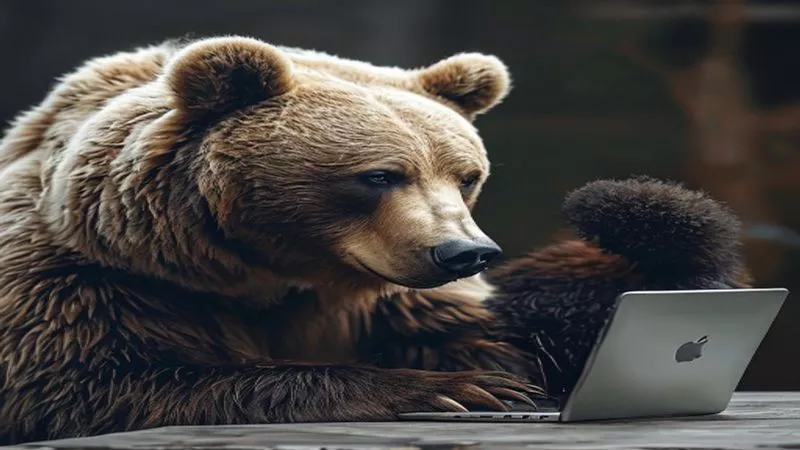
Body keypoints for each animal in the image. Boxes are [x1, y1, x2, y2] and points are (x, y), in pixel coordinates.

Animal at [0, 36, 748, 444]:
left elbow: (520, 333)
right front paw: (458, 390)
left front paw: (638, 221)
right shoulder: (90, 278)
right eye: (381, 174)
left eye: (466, 175)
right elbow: (94, 382)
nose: (464, 252)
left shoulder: (394, 299)